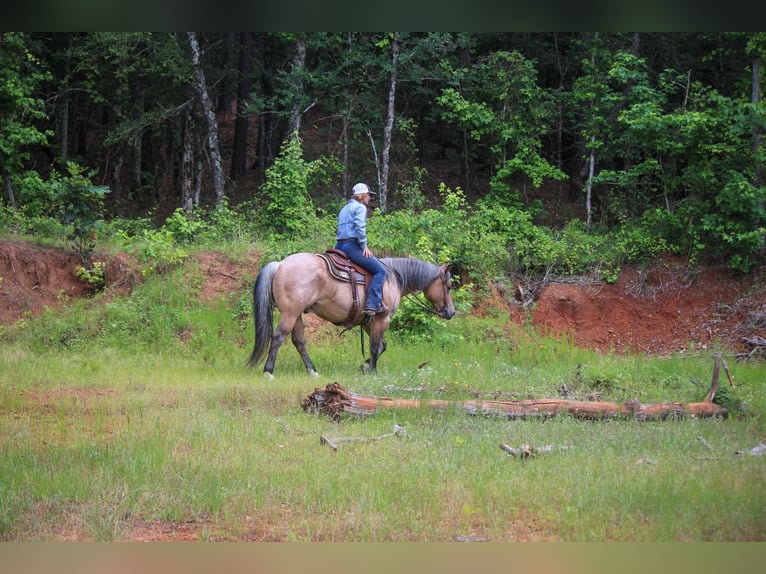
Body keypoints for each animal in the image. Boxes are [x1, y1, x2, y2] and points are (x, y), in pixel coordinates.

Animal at [250, 251, 456, 378]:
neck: (393, 278)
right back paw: (268, 372)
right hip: (290, 313)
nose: (451, 312)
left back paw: (312, 371)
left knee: (299, 342)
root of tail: (279, 265)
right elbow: (375, 347)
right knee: (278, 337)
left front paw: (365, 366)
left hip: (298, 314)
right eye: (449, 286)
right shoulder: (382, 318)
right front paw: (372, 371)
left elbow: (382, 346)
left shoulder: (368, 321)